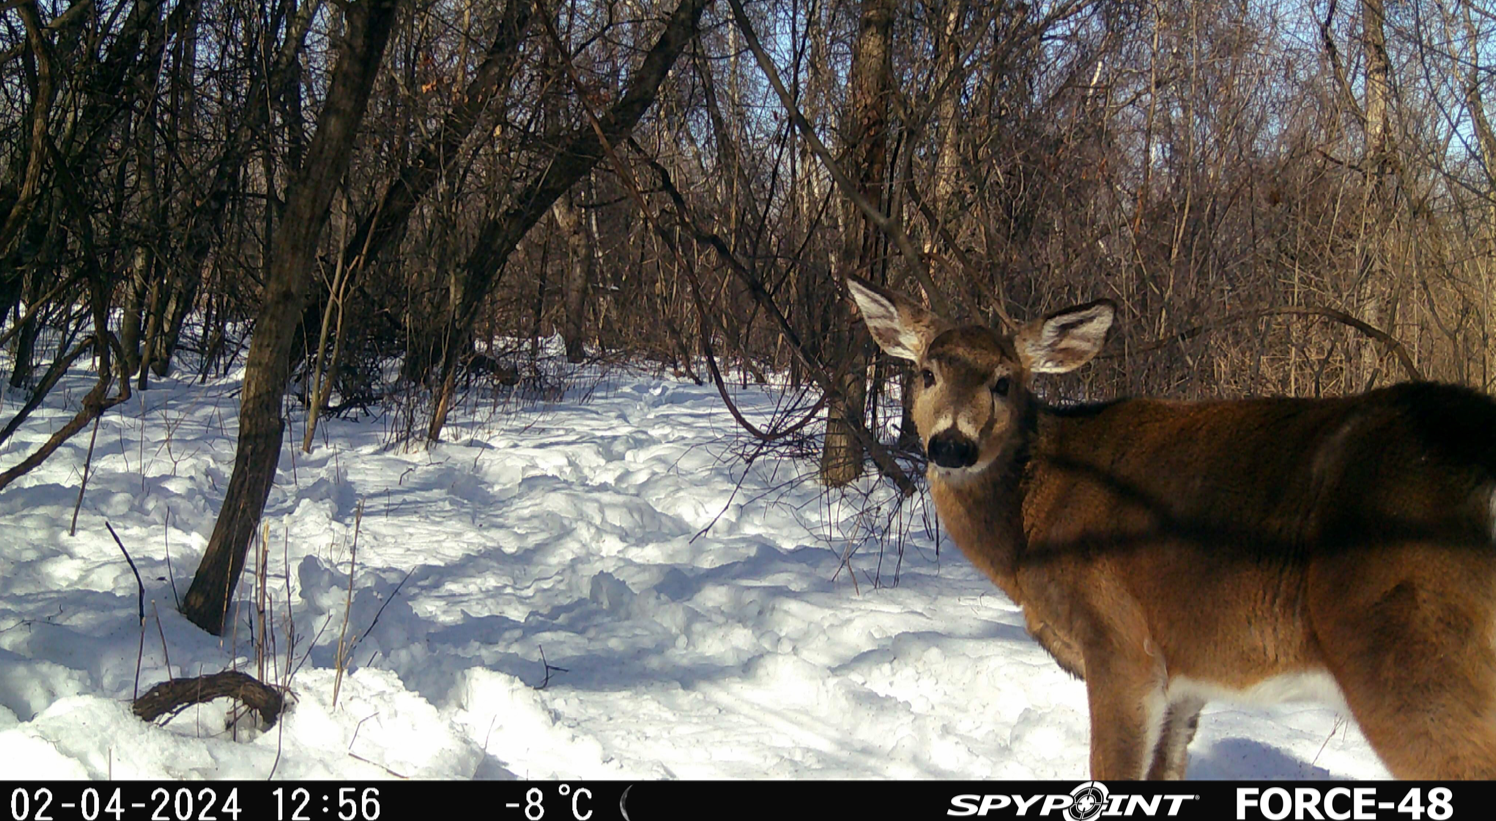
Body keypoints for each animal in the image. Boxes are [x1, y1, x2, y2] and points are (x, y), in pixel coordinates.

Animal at [845, 274, 1496, 780]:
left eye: (1003, 382)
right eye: (927, 373)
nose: (951, 445)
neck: (1031, 529)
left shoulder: (1121, 642)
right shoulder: (1185, 681)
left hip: (1415, 659)